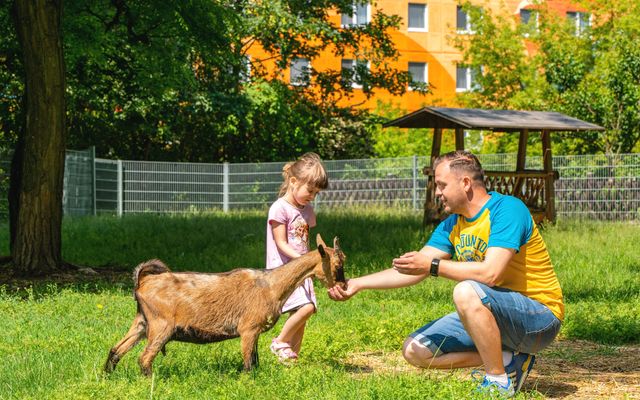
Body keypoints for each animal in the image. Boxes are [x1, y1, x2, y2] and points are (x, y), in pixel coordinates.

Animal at [105, 234, 344, 376]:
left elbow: (254, 360)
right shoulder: (248, 328)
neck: (271, 284)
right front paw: (248, 382)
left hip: (142, 323)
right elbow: (248, 362)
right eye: (337, 265)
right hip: (161, 325)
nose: (343, 285)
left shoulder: (254, 331)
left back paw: (108, 376)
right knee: (144, 358)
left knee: (117, 348)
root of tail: (144, 281)